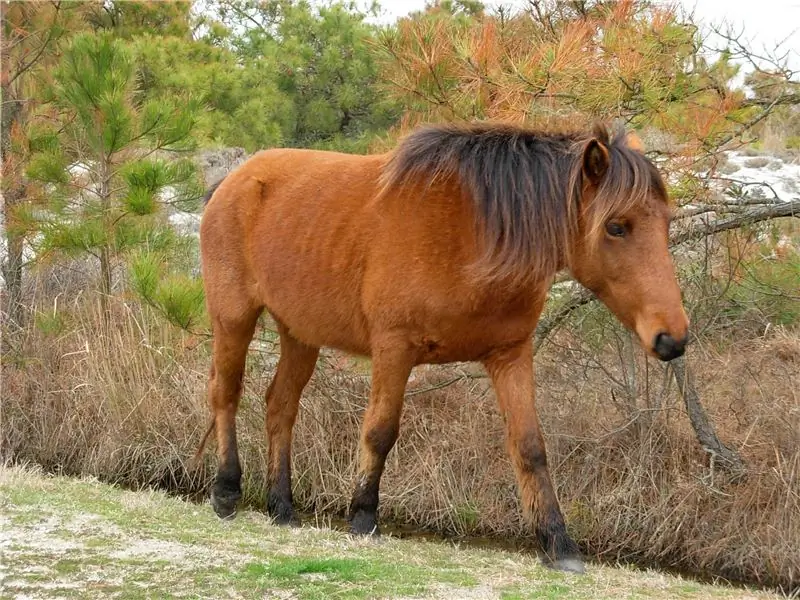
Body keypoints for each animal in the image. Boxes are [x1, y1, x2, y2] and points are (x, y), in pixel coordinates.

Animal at [198, 120, 688, 572]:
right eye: (617, 227)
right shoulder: (394, 349)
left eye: (666, 223)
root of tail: (235, 180)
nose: (673, 338)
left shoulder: (511, 355)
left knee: (280, 406)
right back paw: (226, 490)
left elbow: (530, 446)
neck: (473, 233)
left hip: (299, 335)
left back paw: (282, 506)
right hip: (233, 319)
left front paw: (557, 543)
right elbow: (380, 432)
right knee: (226, 394)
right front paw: (363, 517)